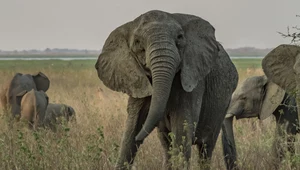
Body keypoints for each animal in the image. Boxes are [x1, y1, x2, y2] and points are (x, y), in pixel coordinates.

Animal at [95, 9, 238, 169]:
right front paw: (134, 134)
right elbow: (131, 127)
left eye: (180, 37)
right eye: (137, 42)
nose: (140, 137)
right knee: (166, 144)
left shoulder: (192, 79)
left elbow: (182, 129)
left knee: (206, 147)